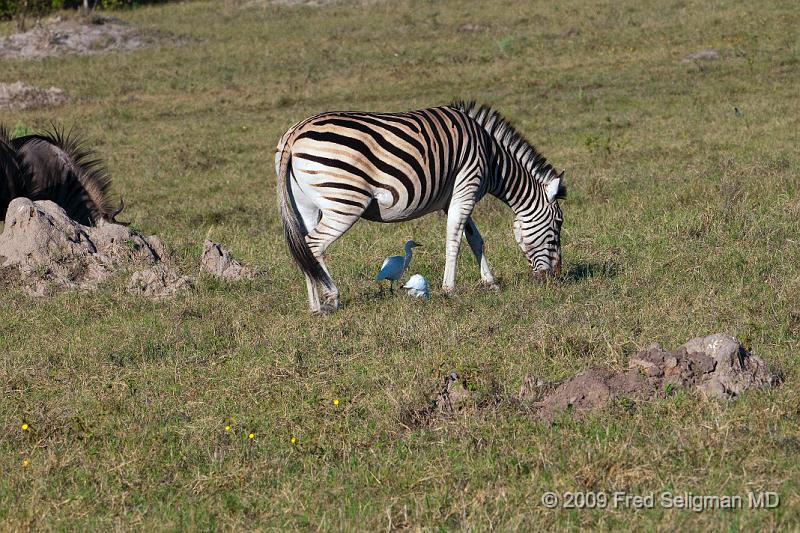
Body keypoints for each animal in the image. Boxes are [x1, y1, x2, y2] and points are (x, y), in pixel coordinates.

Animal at [278, 101, 564, 312]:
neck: (491, 158)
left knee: (306, 248)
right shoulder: (466, 186)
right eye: (557, 227)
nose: (556, 278)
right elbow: (454, 240)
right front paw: (448, 289)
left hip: (307, 205)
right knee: (314, 244)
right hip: (346, 202)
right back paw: (332, 297)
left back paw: (315, 306)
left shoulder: (454, 197)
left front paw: (490, 283)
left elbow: (475, 240)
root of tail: (294, 133)